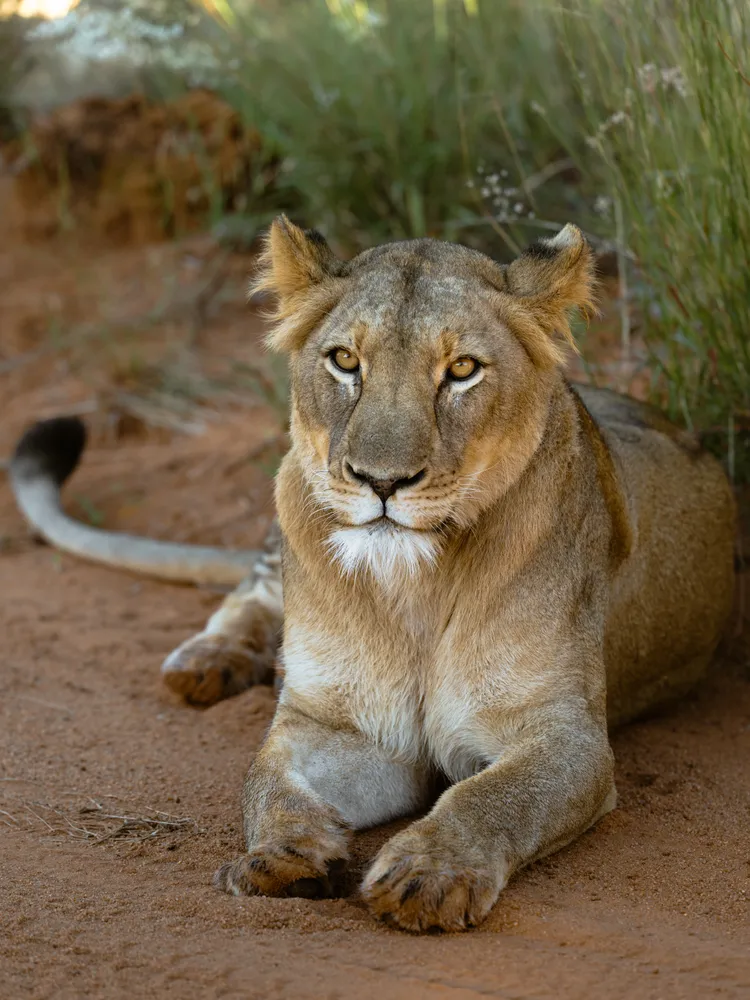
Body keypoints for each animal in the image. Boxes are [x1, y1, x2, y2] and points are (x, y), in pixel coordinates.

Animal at [10, 217, 735, 932]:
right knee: (251, 590)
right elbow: (267, 782)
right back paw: (205, 661)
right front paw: (282, 858)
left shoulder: (566, 736)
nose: (381, 481)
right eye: (345, 361)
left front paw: (428, 877)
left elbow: (492, 796)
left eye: (462, 370)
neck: (415, 585)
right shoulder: (337, 725)